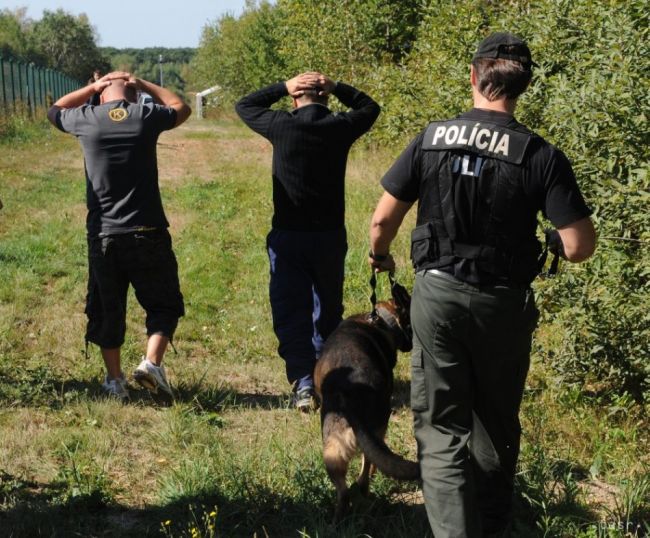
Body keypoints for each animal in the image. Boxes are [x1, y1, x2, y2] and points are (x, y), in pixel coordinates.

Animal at [314, 276, 420, 520]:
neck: (382, 321)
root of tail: (348, 392)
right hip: (377, 429)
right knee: (365, 472)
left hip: (333, 449)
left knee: (344, 490)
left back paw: (338, 518)